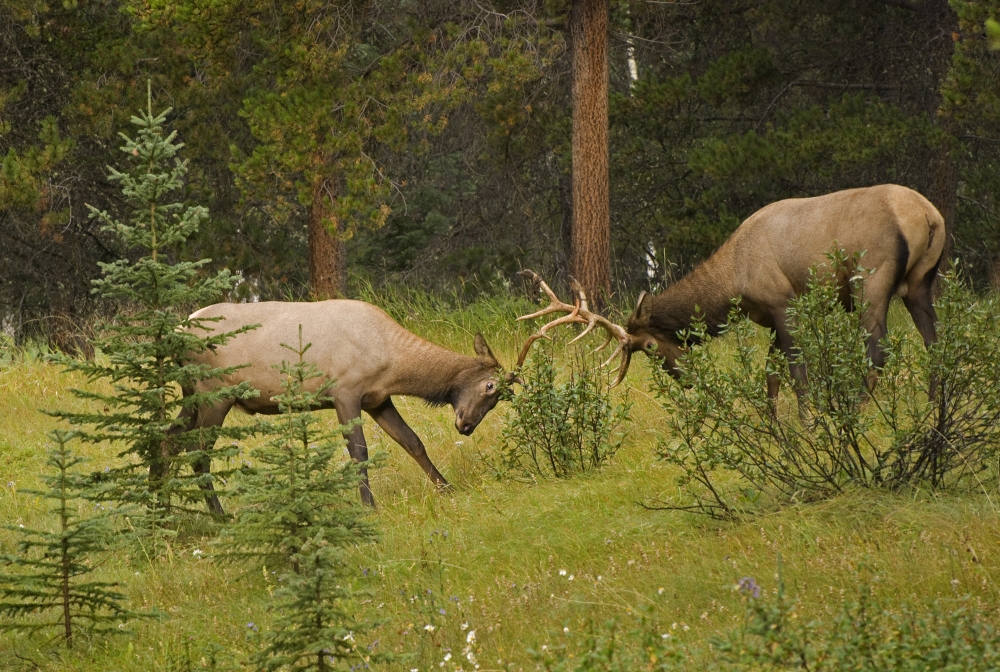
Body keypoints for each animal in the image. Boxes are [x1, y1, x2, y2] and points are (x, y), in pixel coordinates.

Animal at [176, 299, 515, 512]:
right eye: (489, 387)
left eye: (497, 400)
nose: (466, 426)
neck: (391, 363)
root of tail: (180, 329)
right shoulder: (345, 392)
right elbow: (358, 452)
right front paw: (369, 505)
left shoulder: (378, 400)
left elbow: (413, 442)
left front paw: (447, 489)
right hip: (215, 393)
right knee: (196, 451)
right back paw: (220, 515)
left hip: (191, 396)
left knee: (170, 441)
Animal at [518, 184, 945, 399]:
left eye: (650, 347)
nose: (686, 378)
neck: (733, 281)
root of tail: (928, 214)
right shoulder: (769, 319)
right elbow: (771, 377)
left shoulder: (783, 304)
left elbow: (797, 375)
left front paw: (810, 424)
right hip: (920, 282)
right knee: (935, 344)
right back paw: (934, 411)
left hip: (871, 280)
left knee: (878, 350)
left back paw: (855, 408)